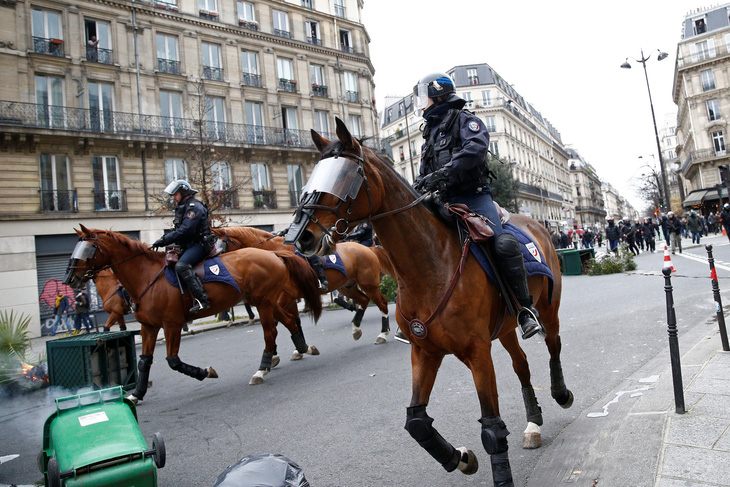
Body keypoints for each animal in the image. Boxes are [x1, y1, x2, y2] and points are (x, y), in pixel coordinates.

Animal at [64, 225, 322, 400]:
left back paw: (262, 369)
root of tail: (273, 254)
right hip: (268, 300)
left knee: (271, 331)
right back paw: (302, 348)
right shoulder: (149, 327)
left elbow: (173, 361)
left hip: (265, 302)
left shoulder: (171, 324)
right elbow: (144, 361)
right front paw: (136, 393)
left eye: (87, 248)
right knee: (288, 321)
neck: (146, 277)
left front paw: (205, 372)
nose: (70, 278)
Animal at [212, 227, 392, 346]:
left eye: (220, 244)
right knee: (363, 300)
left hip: (369, 284)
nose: (215, 262)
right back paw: (356, 328)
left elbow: (282, 320)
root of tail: (368, 248)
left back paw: (383, 333)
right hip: (347, 287)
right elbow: (293, 320)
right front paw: (299, 347)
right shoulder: (287, 298)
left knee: (381, 303)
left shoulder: (283, 298)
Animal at [288, 119, 572, 487]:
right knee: (521, 365)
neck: (431, 263)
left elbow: (491, 428)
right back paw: (533, 423)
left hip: (549, 310)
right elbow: (416, 421)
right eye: (312, 177)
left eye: (345, 176)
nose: (299, 236)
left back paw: (561, 393)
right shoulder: (426, 351)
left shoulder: (477, 352)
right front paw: (461, 458)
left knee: (553, 345)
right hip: (505, 328)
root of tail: (535, 223)